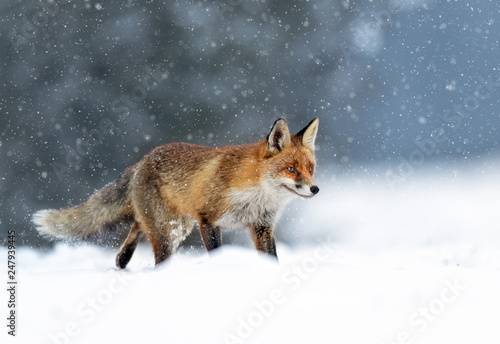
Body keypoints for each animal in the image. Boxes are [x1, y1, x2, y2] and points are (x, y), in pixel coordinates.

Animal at [32, 117, 320, 268]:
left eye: (310, 168)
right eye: (291, 169)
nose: (315, 189)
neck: (255, 195)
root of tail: (142, 161)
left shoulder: (261, 227)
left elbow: (272, 259)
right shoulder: (208, 220)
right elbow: (215, 252)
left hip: (178, 227)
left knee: (137, 224)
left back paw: (122, 259)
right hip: (167, 231)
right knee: (155, 249)